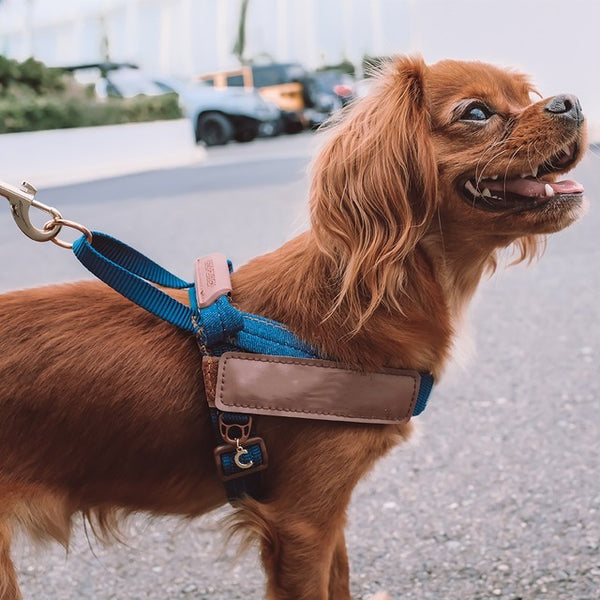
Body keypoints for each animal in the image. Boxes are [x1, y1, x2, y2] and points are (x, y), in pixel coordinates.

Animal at [0, 57, 584, 600]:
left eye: (526, 96)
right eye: (477, 113)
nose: (573, 101)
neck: (373, 296)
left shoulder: (329, 514)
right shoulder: (301, 521)